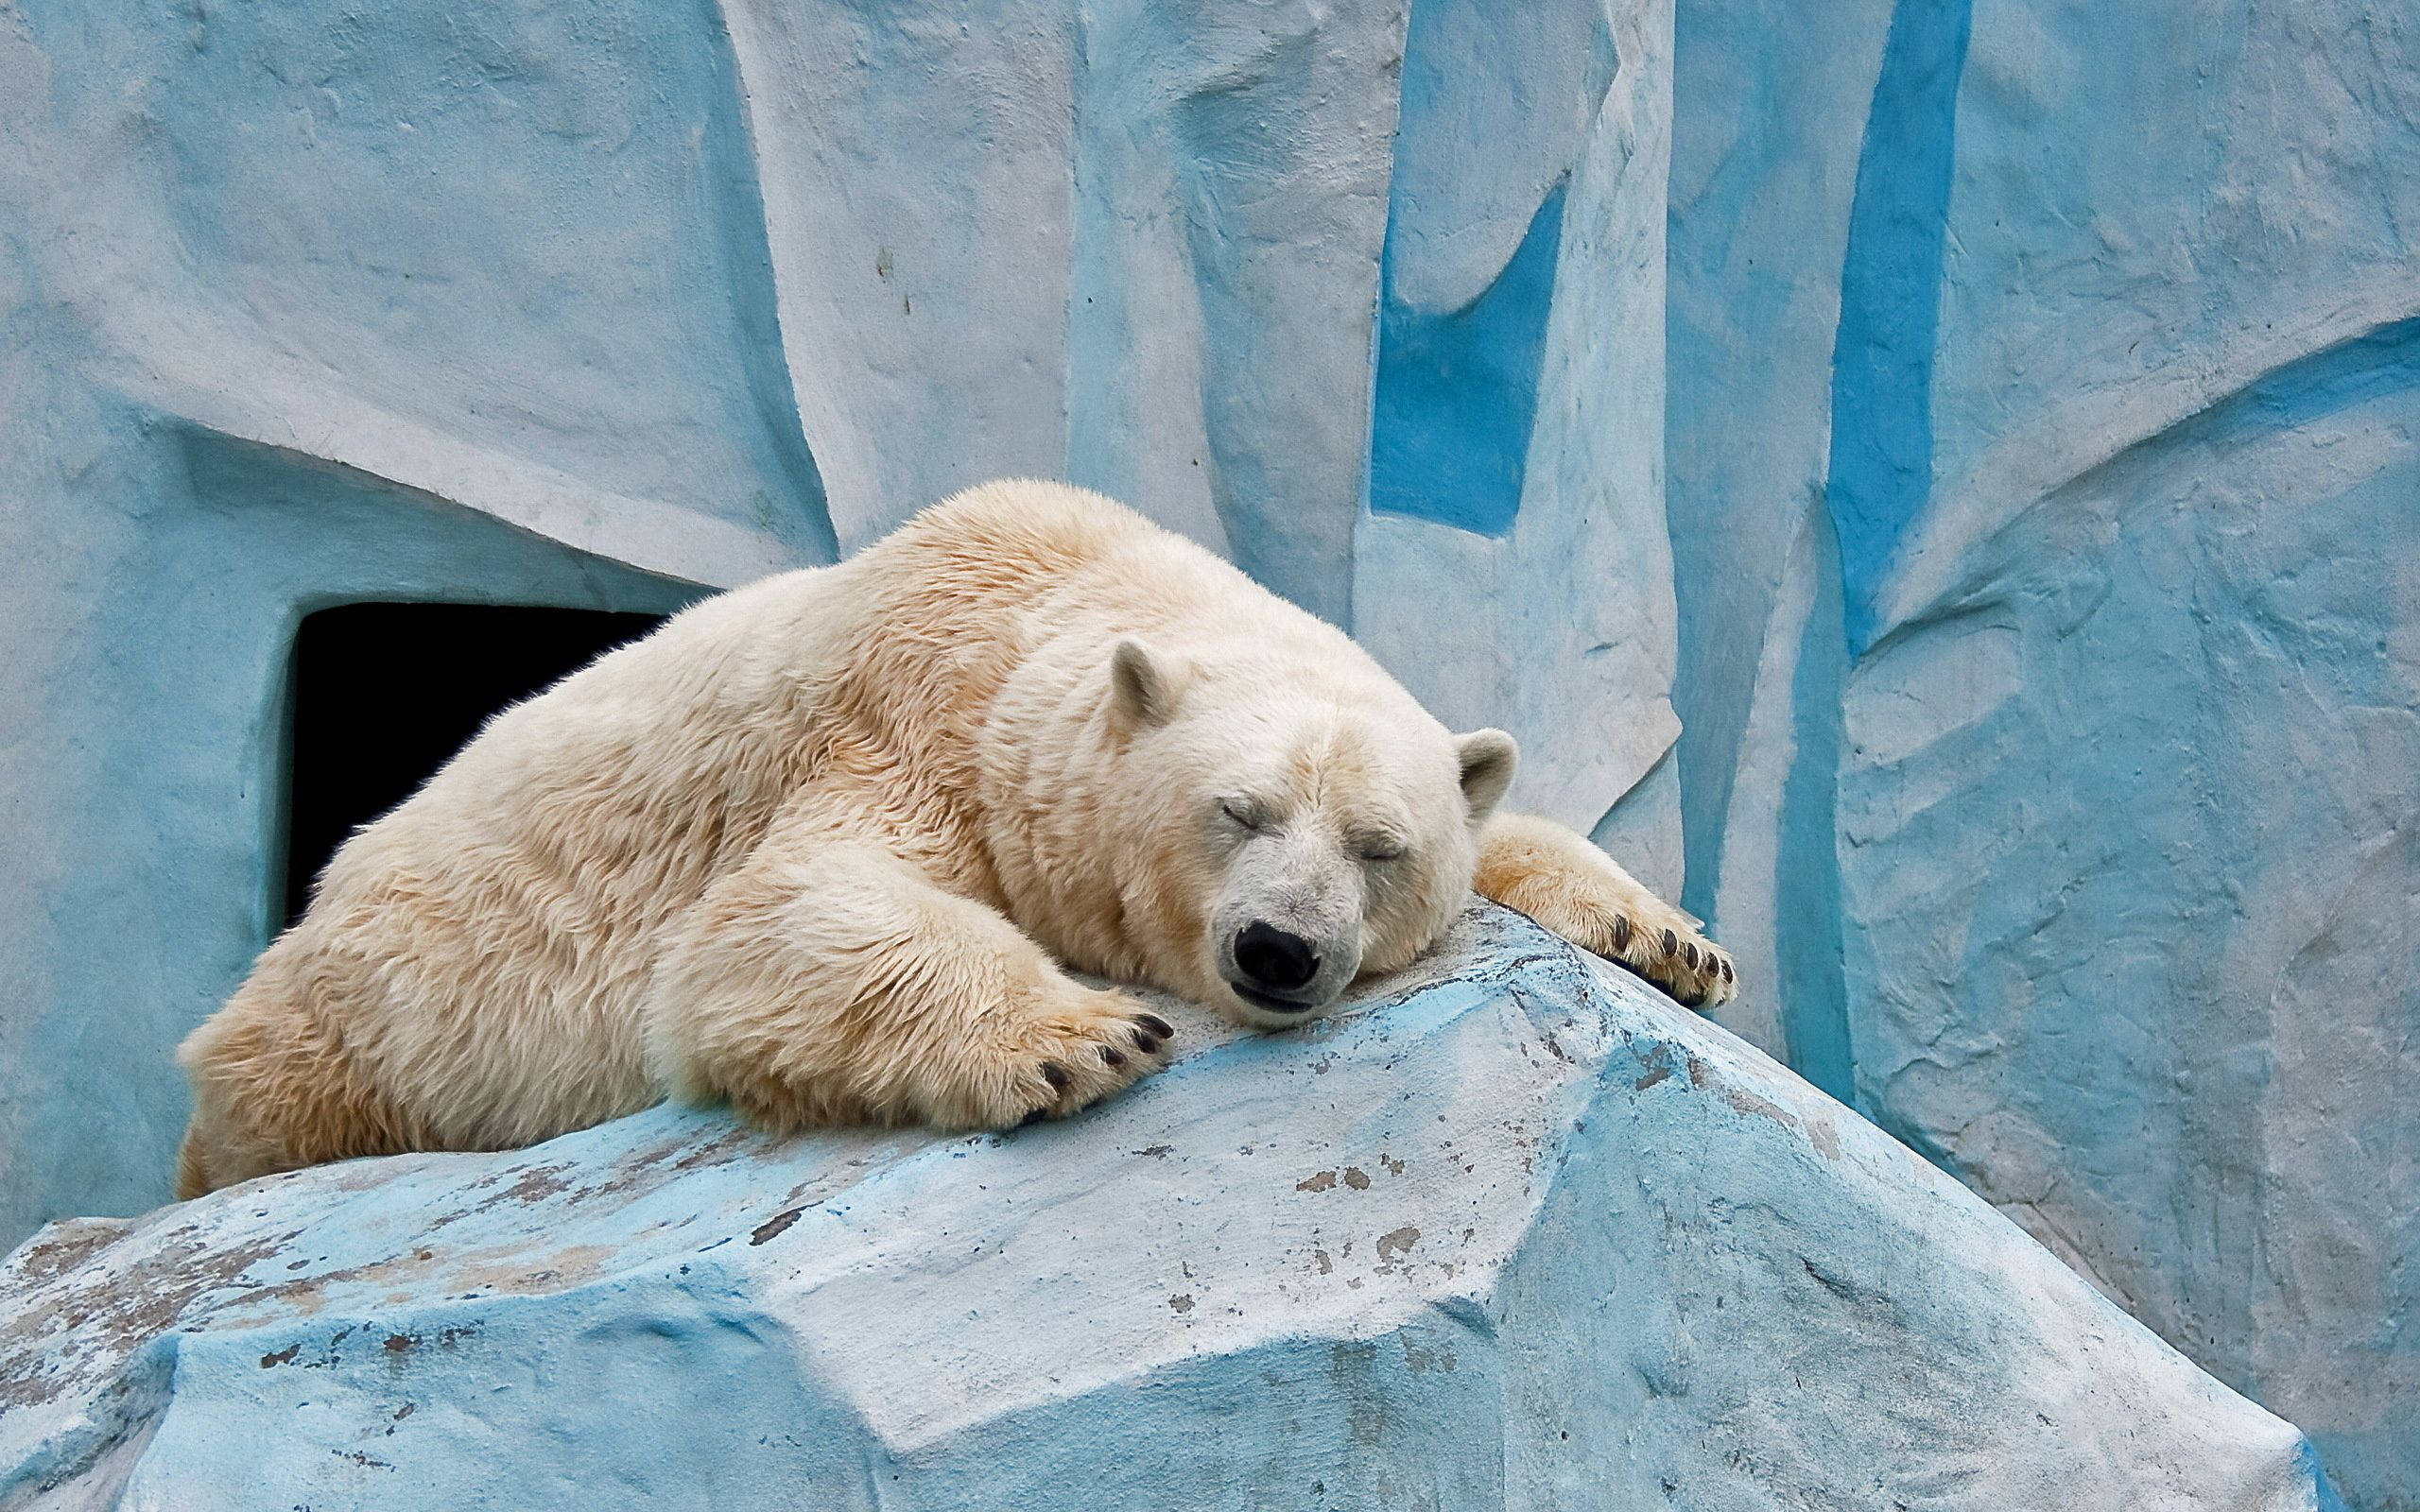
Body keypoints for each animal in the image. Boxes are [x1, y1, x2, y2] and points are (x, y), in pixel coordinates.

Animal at [174, 480, 1732, 1197]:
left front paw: (1671, 938)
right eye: (1237, 810)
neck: (1057, 592)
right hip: (355, 1028)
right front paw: (1081, 1036)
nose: (1280, 952)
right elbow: (769, 919)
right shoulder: (907, 723)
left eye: (1377, 844)